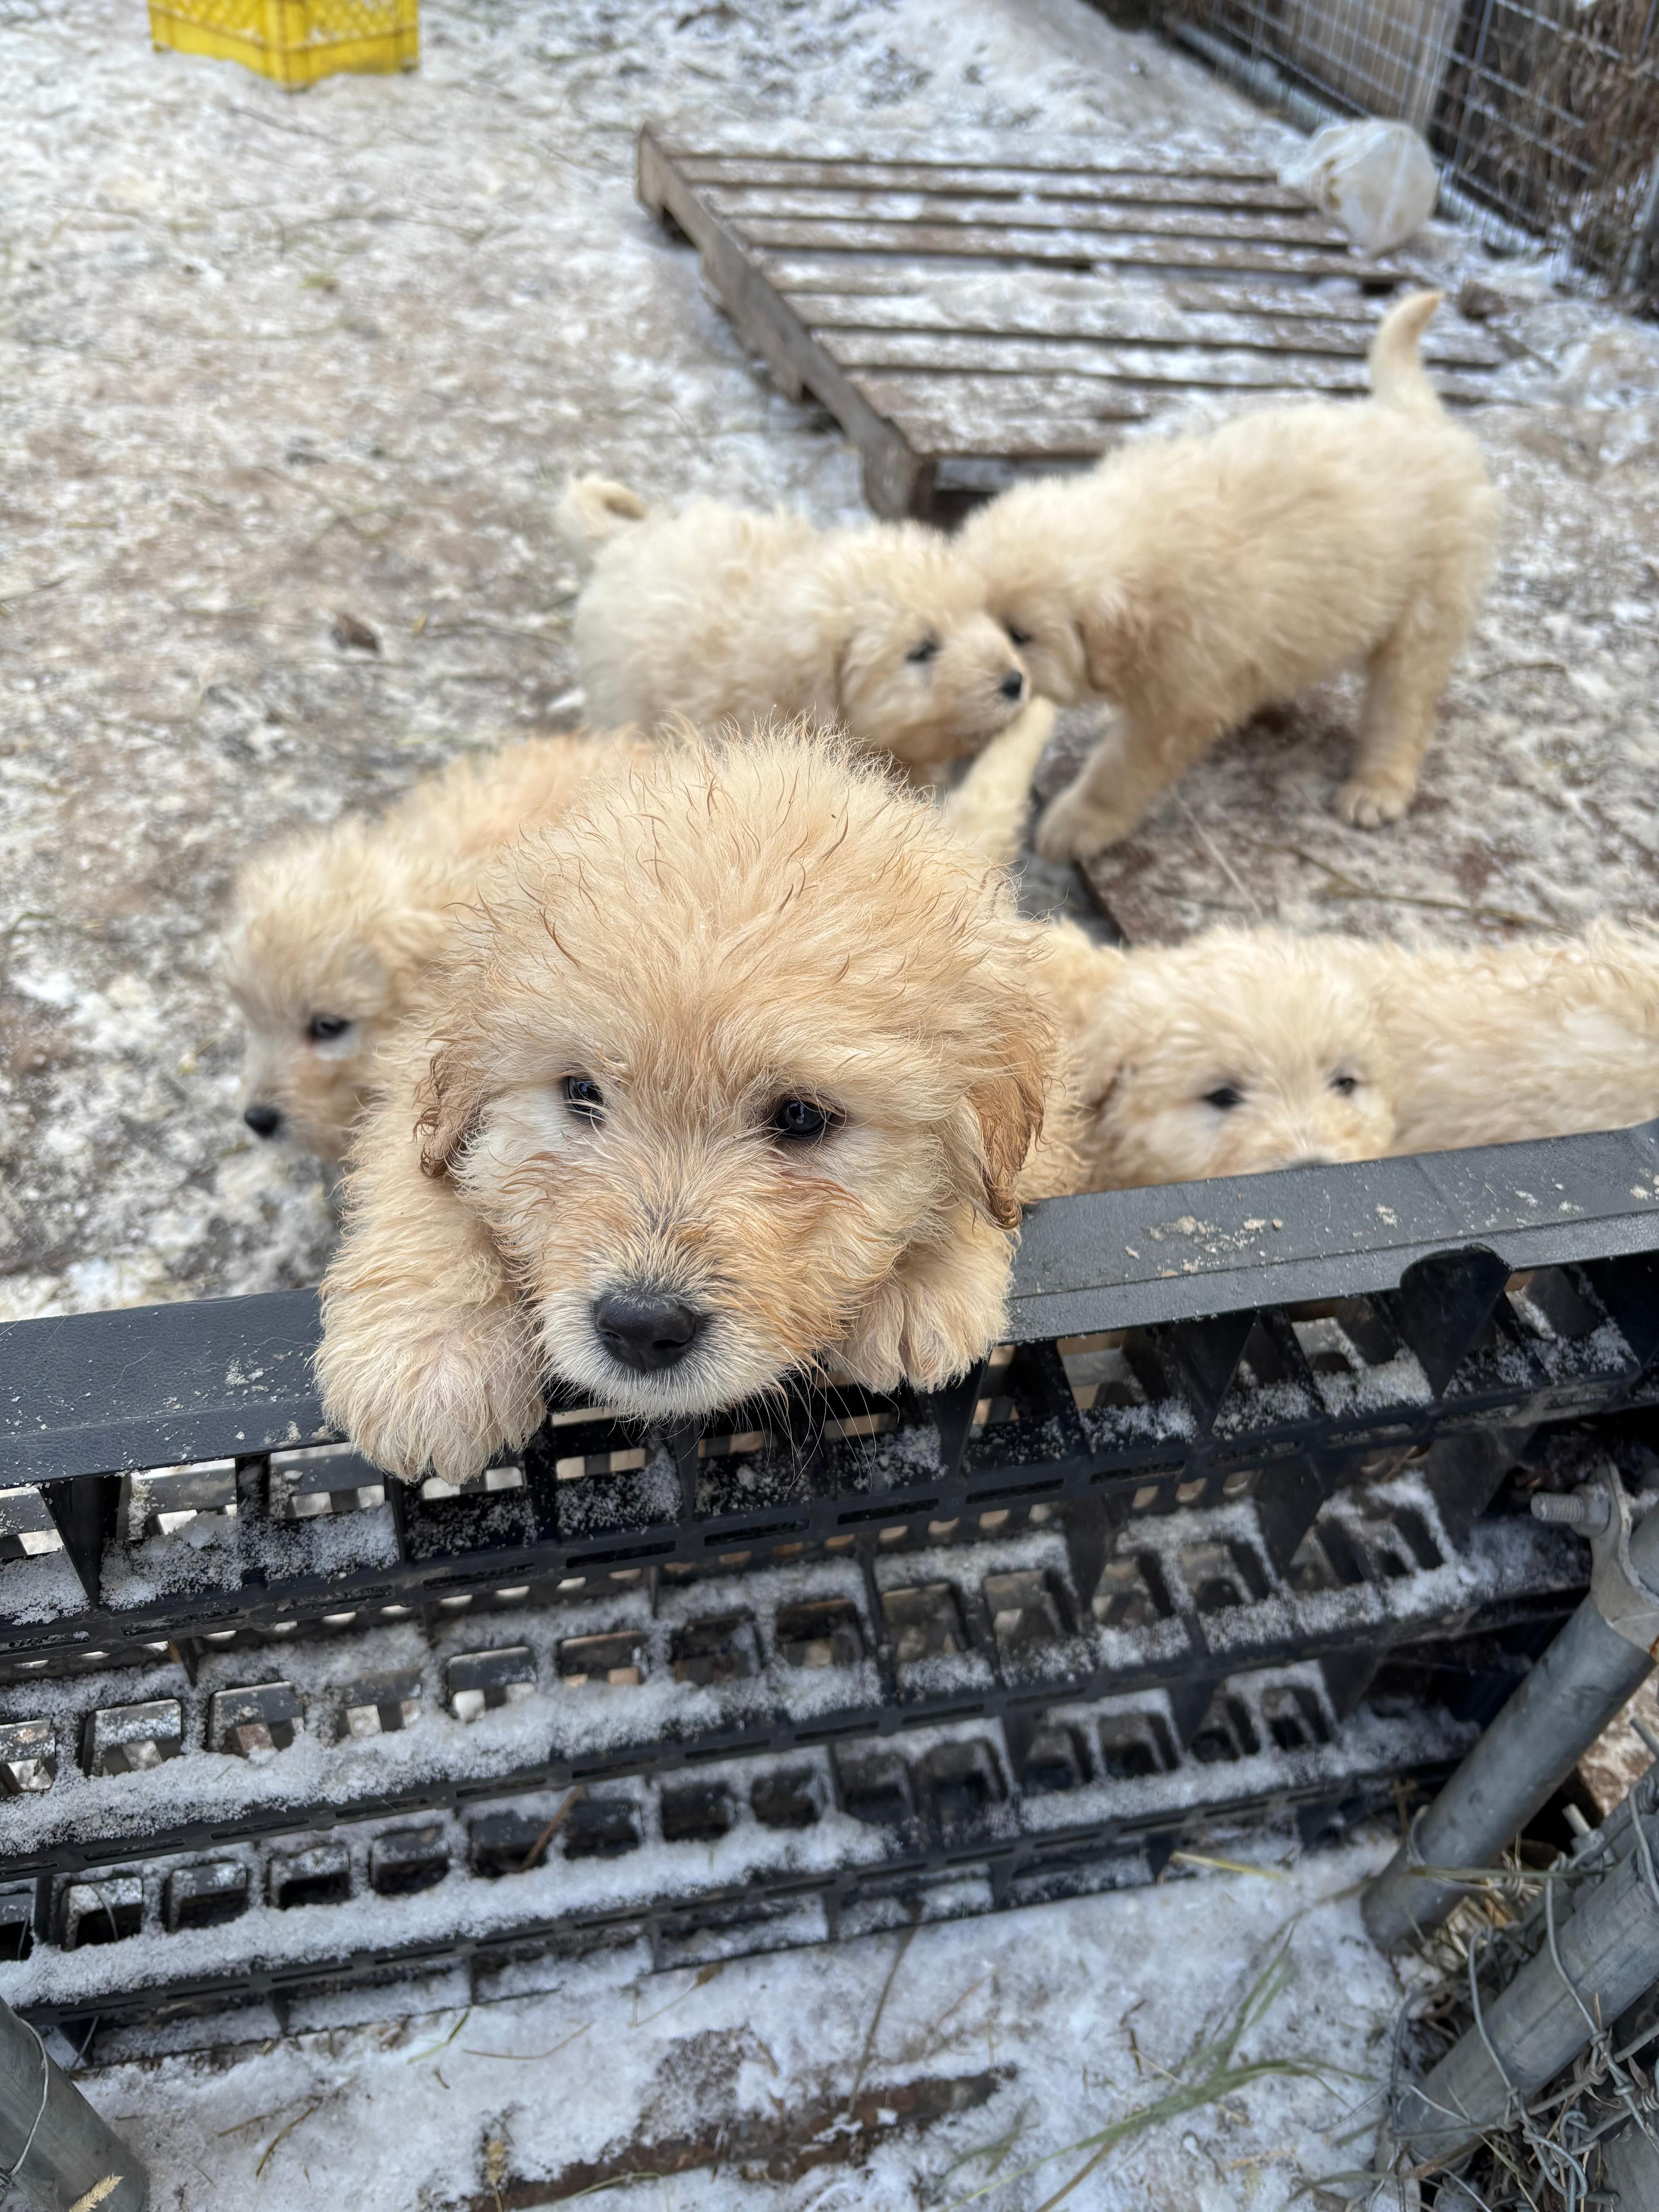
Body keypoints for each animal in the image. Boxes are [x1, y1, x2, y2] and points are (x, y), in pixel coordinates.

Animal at [321, 730, 1093, 1486]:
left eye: (803, 1117)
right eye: (581, 1092)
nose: (640, 1326)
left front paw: (925, 1276)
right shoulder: (416, 1067)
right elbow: (424, 1178)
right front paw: (430, 1349)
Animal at [947, 287, 1504, 854]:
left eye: (1021, 634)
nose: (992, 684)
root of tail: (1422, 420)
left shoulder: (1179, 702)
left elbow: (1119, 770)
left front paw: (1077, 824)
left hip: (1427, 611)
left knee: (1402, 706)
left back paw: (1377, 787)